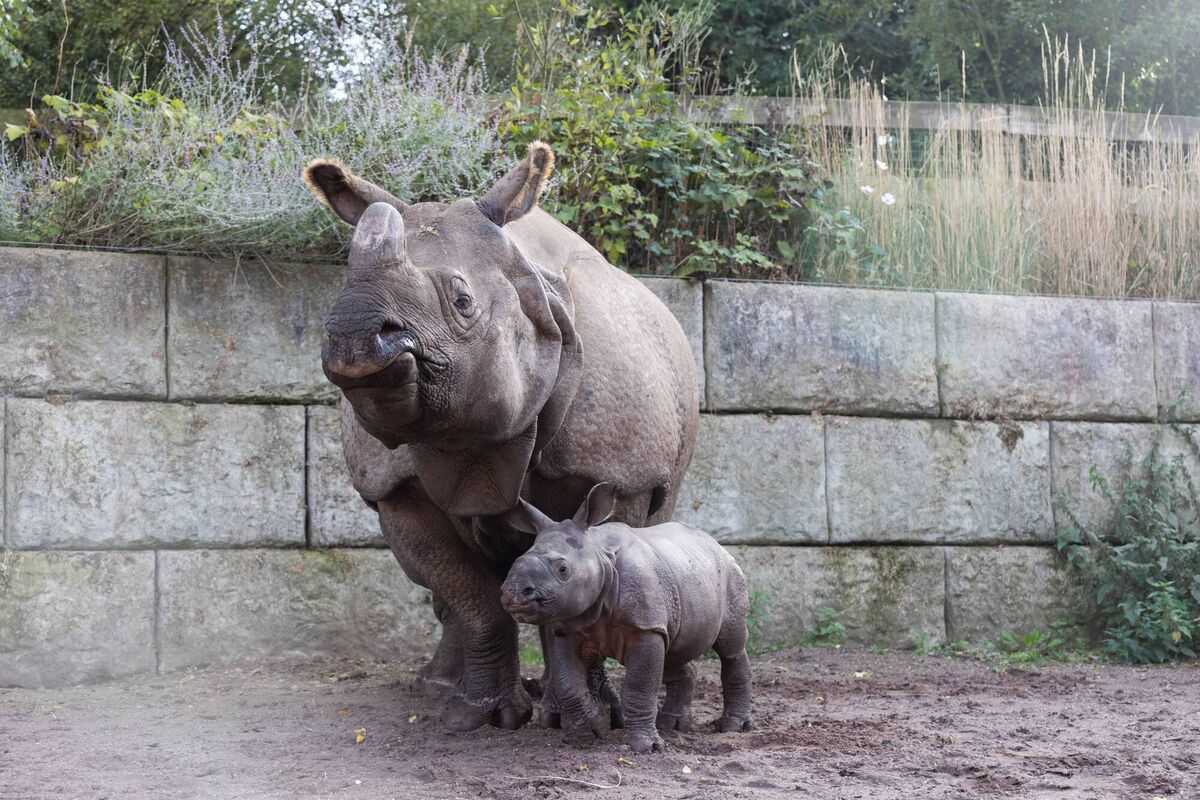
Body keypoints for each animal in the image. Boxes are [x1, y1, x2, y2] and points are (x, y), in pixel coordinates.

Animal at [302, 142, 699, 732]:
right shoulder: (393, 486)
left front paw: (589, 715)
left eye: (463, 301)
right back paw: (438, 689)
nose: (353, 338)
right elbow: (471, 596)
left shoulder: (623, 473)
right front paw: (481, 717)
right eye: (342, 288)